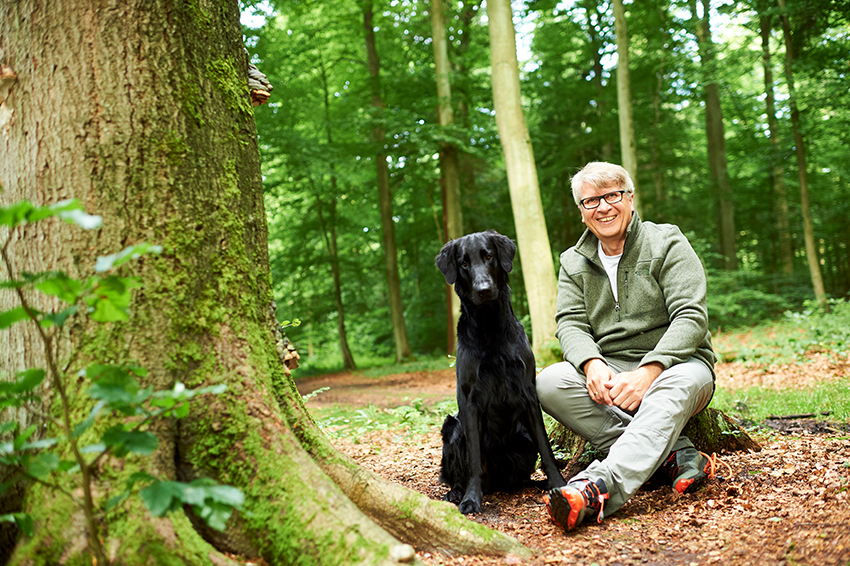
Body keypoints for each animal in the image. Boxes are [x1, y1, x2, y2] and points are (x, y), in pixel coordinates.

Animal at [438, 231, 564, 516]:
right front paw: (471, 499)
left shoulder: (528, 391)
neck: (490, 326)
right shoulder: (469, 399)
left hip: (523, 439)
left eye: (488, 256)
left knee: (522, 477)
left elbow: (546, 447)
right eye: (463, 263)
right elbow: (474, 459)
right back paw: (456, 492)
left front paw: (558, 482)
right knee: (455, 474)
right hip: (452, 426)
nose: (483, 290)